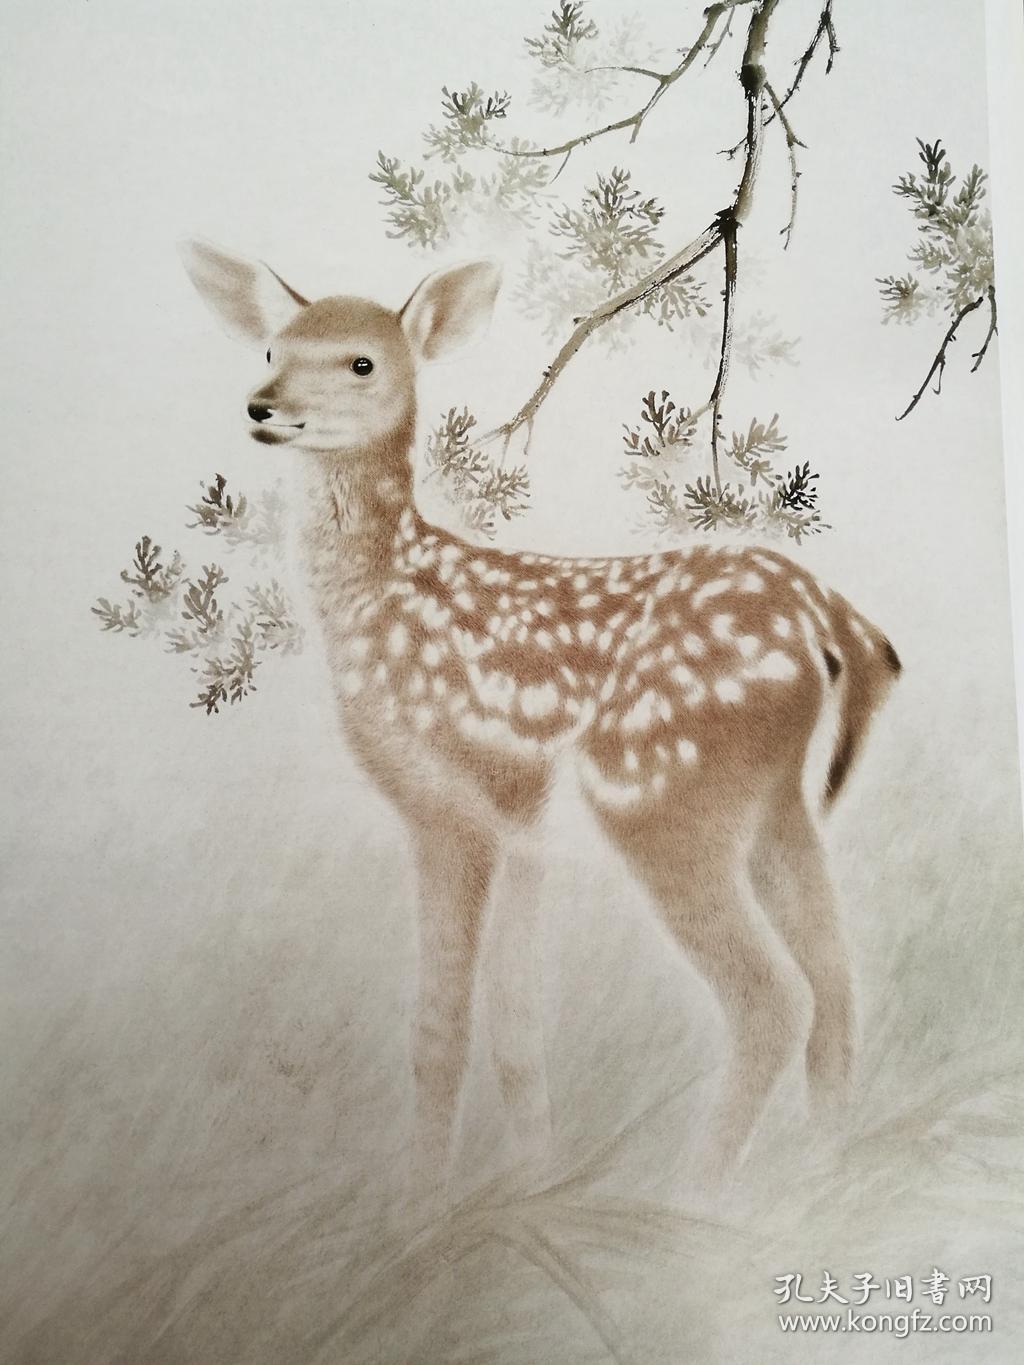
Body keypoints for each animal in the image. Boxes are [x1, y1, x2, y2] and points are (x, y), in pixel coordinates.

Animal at [180, 240, 901, 1195]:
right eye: (271, 348)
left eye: (362, 361)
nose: (263, 407)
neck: (385, 600)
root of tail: (827, 618)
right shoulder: (521, 826)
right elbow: (518, 1036)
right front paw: (528, 1187)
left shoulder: (455, 805)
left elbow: (439, 1031)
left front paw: (421, 1204)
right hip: (776, 802)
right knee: (838, 981)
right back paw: (821, 1177)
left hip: (665, 795)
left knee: (773, 998)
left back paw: (693, 1198)